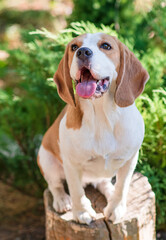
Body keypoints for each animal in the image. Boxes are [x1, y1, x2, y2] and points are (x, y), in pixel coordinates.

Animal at [37, 32, 149, 224]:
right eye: (74, 47)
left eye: (106, 46)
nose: (83, 52)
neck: (102, 116)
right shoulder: (71, 163)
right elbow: (76, 190)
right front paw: (82, 211)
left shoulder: (130, 160)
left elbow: (122, 187)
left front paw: (116, 208)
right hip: (46, 159)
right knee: (55, 185)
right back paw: (62, 200)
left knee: (103, 183)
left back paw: (109, 193)